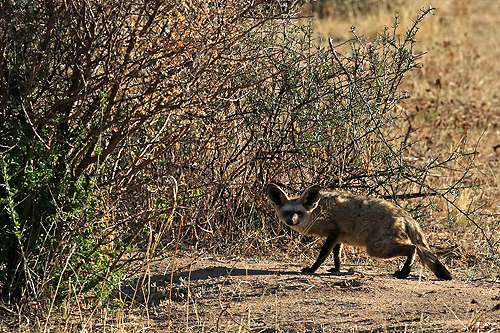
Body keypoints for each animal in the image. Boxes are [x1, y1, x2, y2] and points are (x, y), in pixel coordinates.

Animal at [268, 183, 452, 278]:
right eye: (287, 212)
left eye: (298, 213)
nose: (291, 221)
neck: (318, 211)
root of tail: (404, 214)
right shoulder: (338, 237)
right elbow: (336, 256)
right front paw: (336, 269)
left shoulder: (334, 232)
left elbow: (322, 255)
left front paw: (312, 270)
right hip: (380, 247)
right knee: (413, 248)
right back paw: (404, 271)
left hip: (376, 249)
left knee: (412, 248)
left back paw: (404, 272)